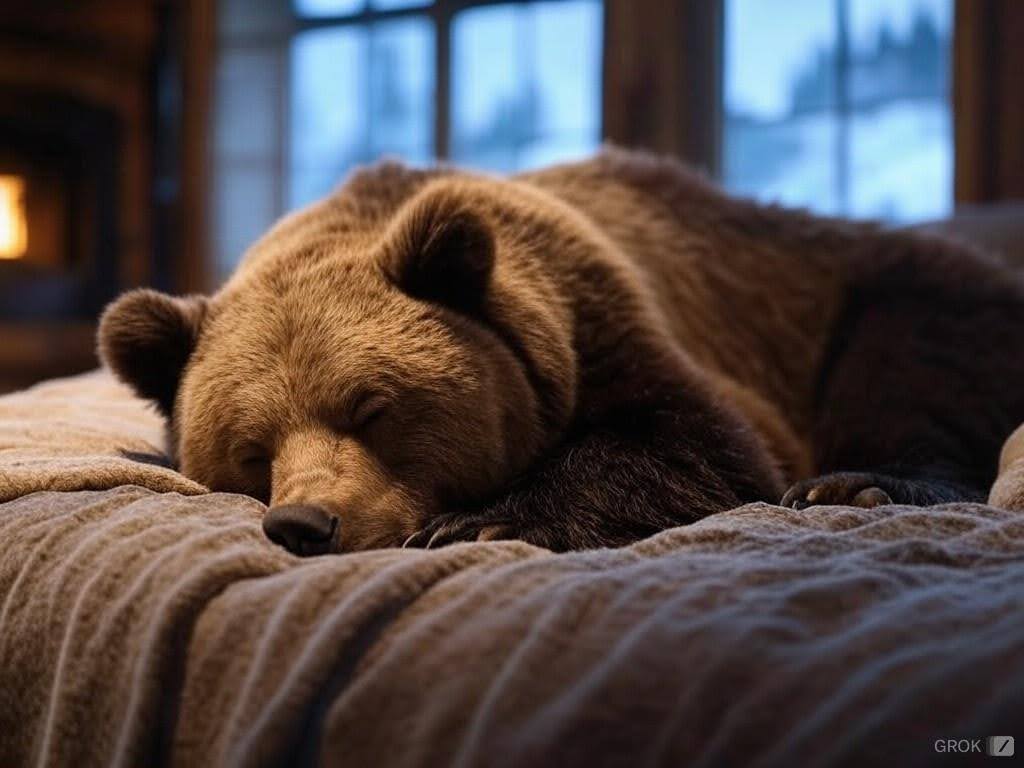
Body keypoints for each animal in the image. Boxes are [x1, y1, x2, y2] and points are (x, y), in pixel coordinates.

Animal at [98, 147, 1024, 555]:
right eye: (251, 449)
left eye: (372, 407)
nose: (305, 523)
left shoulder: (612, 321)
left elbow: (695, 443)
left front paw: (482, 519)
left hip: (879, 295)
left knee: (920, 374)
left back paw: (855, 483)